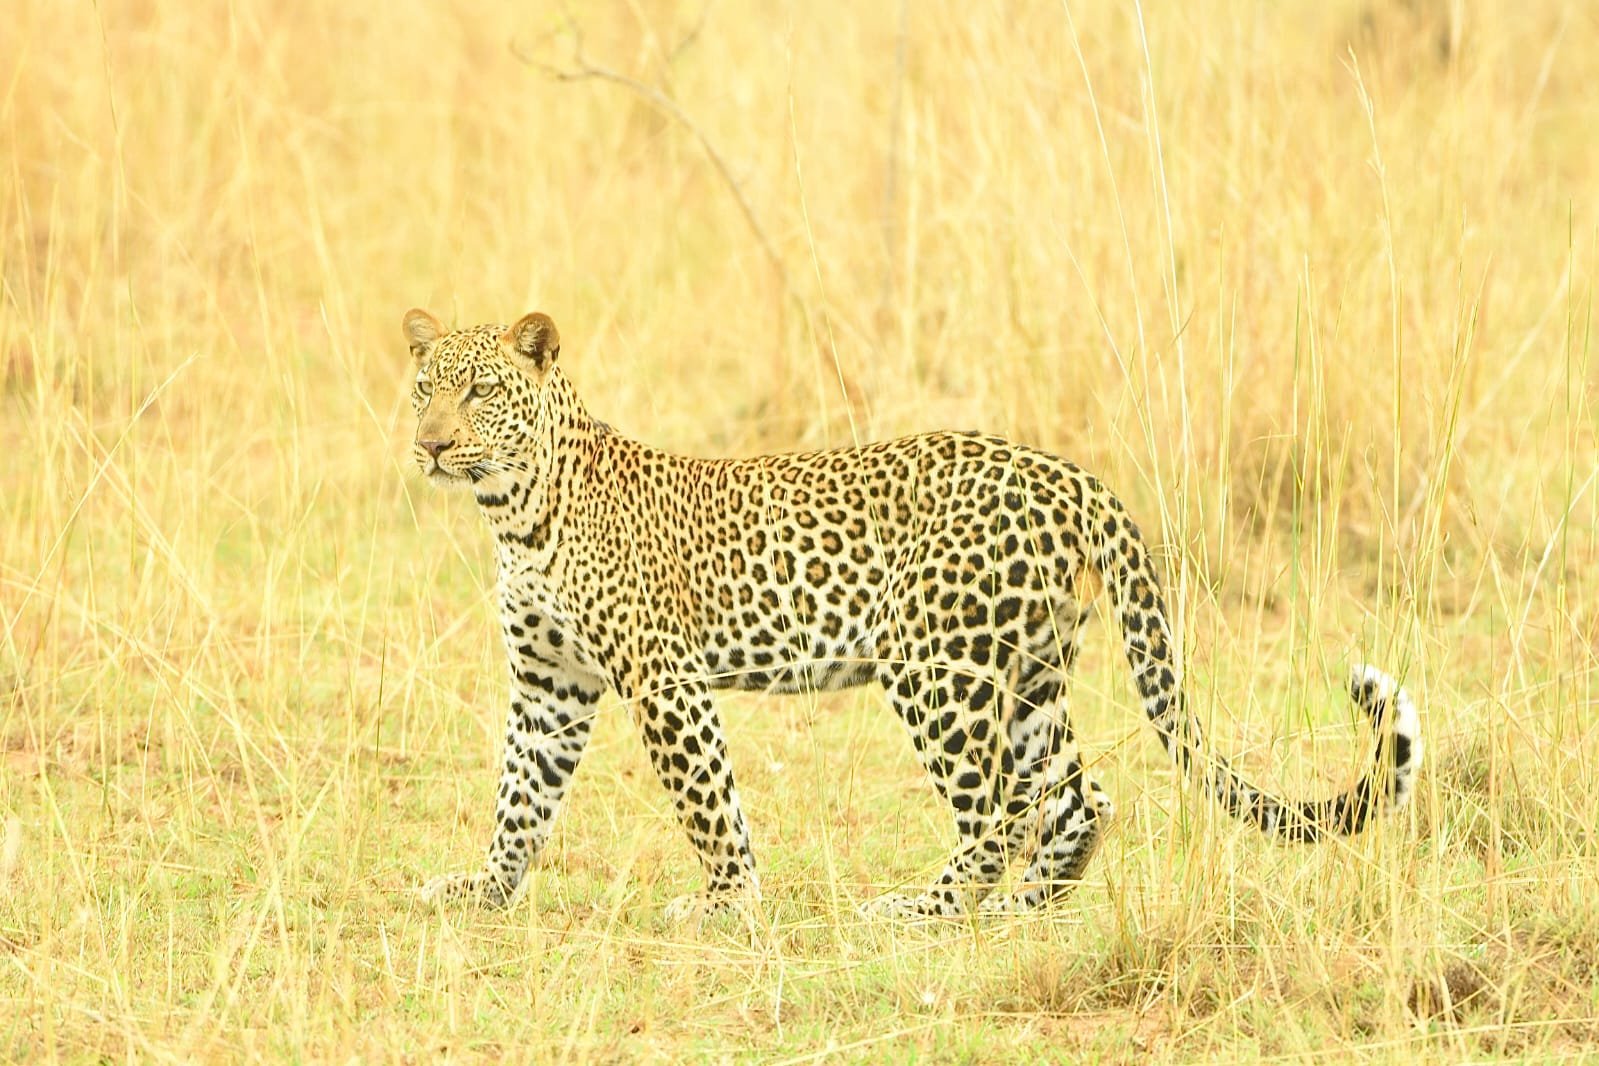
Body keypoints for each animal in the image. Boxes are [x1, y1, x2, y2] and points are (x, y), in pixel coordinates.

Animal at [403, 308, 1422, 919]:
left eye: (481, 391)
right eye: (424, 388)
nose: (432, 446)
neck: (515, 511)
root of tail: (1074, 477)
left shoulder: (662, 677)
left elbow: (705, 800)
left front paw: (727, 902)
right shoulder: (550, 683)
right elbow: (520, 793)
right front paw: (483, 889)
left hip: (936, 663)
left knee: (999, 815)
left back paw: (923, 909)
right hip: (1028, 670)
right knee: (1075, 798)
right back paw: (1020, 911)